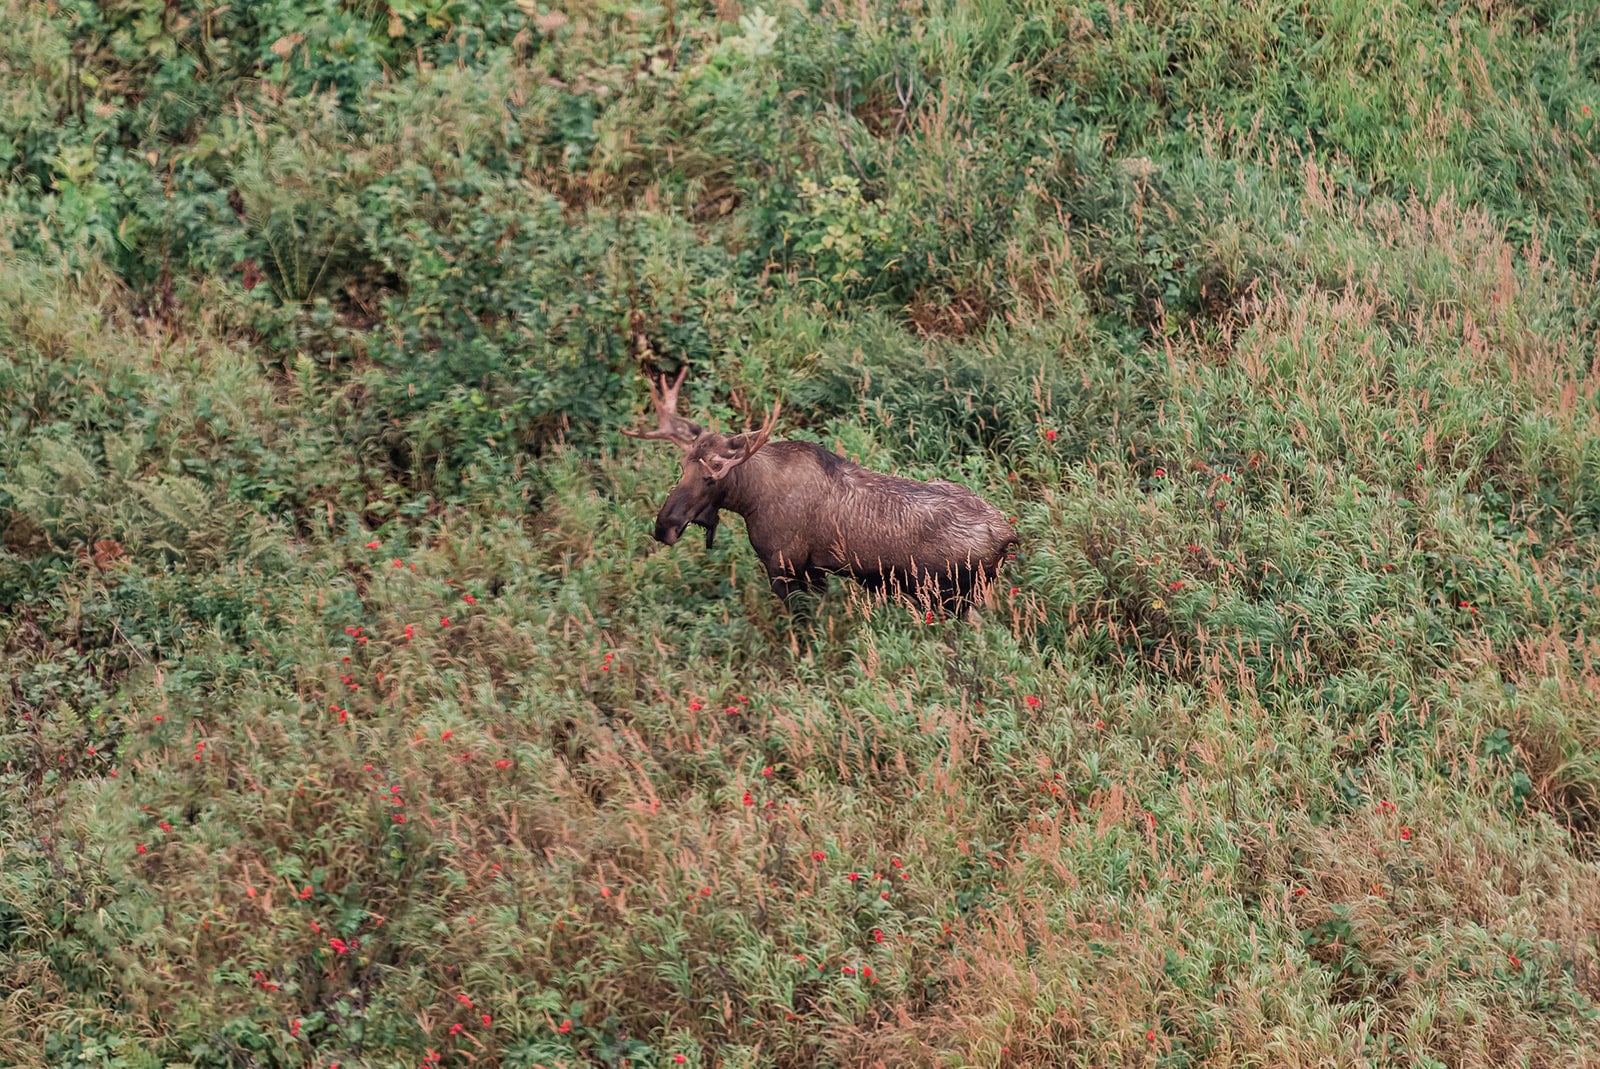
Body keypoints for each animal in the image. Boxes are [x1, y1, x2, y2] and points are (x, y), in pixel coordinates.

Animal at [624, 367, 1018, 611]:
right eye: (682, 467)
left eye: (711, 477)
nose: (664, 526)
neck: (750, 501)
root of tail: (1007, 535)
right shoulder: (816, 570)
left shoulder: (785, 567)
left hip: (951, 595)